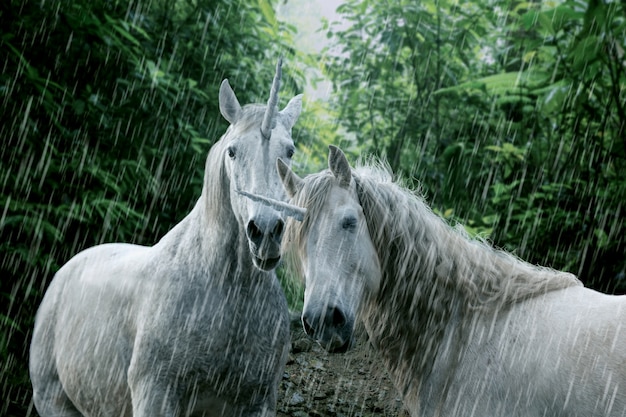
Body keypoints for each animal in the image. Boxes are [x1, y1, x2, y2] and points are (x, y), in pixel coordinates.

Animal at [29, 59, 302, 416]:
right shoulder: (157, 394)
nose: (266, 231)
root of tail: (65, 271)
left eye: (290, 151)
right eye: (232, 152)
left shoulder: (258, 403)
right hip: (53, 401)